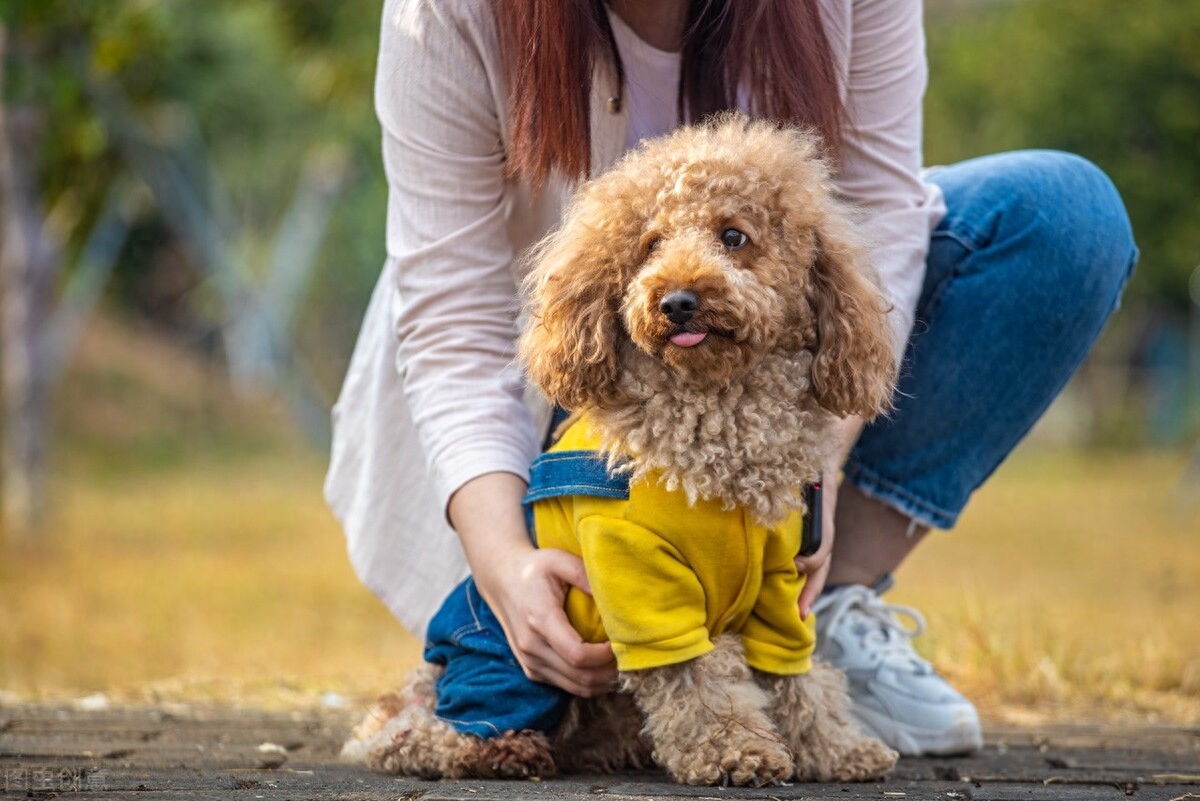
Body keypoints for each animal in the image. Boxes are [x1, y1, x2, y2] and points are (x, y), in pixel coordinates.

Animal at [343, 115, 897, 786]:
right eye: (650, 245)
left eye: (733, 236)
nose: (677, 300)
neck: (721, 420)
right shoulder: (641, 577)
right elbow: (695, 683)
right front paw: (734, 752)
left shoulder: (780, 587)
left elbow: (800, 680)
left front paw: (837, 749)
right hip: (503, 660)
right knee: (419, 732)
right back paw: (499, 749)